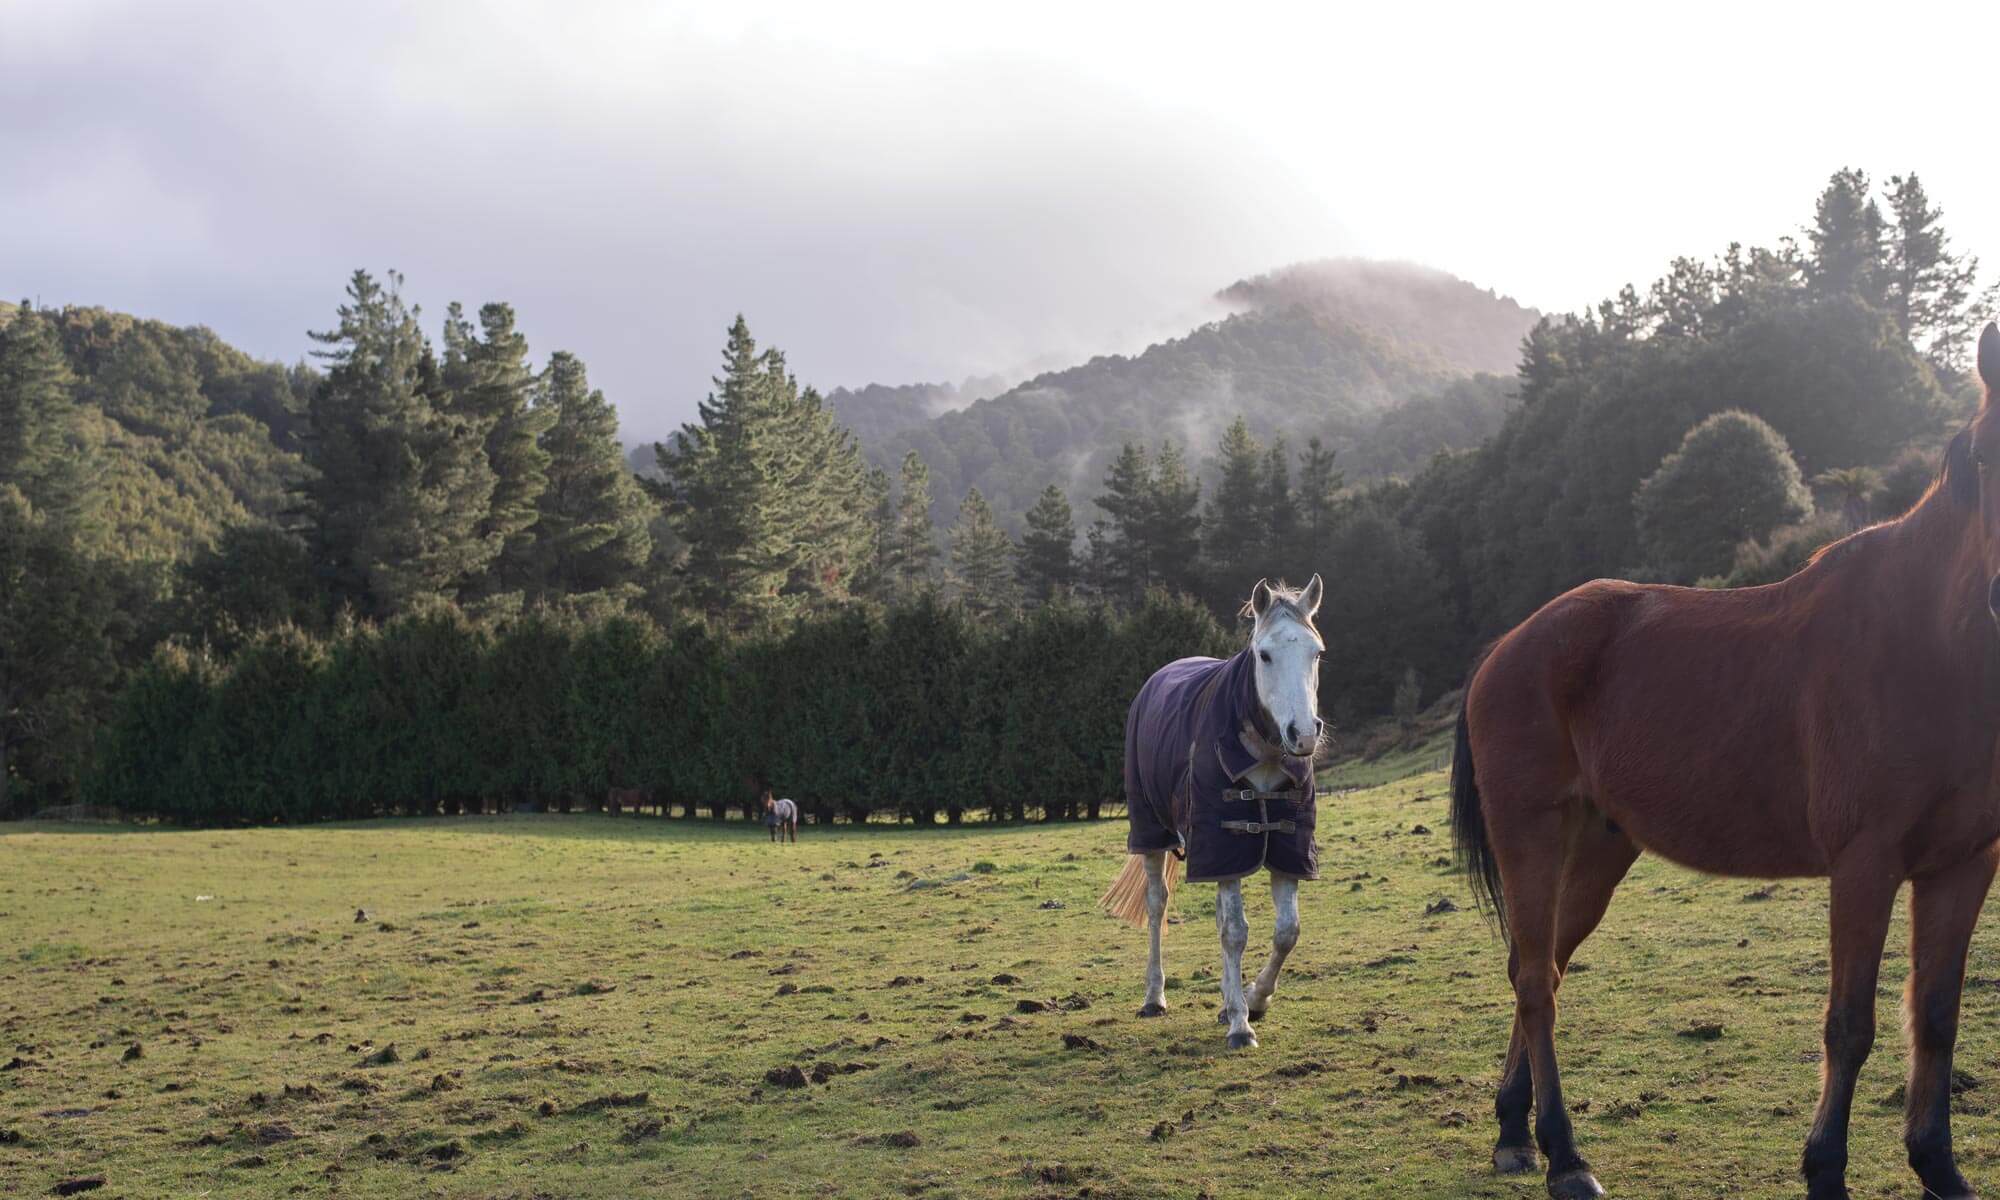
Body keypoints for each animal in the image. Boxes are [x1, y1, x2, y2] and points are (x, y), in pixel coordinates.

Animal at [1100, 576, 1325, 1050]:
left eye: (1316, 652)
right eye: (1265, 654)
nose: (1302, 734)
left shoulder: (1286, 845)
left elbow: (1286, 931)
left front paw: (1253, 1001)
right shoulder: (1222, 843)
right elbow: (1236, 932)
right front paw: (1242, 1026)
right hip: (1152, 833)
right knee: (1157, 905)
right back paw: (1155, 997)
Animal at [1451, 324, 2000, 1200]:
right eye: (1982, 454)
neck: (1930, 646)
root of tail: (1510, 645)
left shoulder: (1963, 864)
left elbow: (1937, 1019)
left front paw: (1938, 1166)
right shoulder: (1866, 864)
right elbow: (1851, 1024)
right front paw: (1824, 1170)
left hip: (1598, 850)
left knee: (1542, 966)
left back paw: (1514, 1130)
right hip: (1530, 834)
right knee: (1536, 983)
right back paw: (1566, 1156)